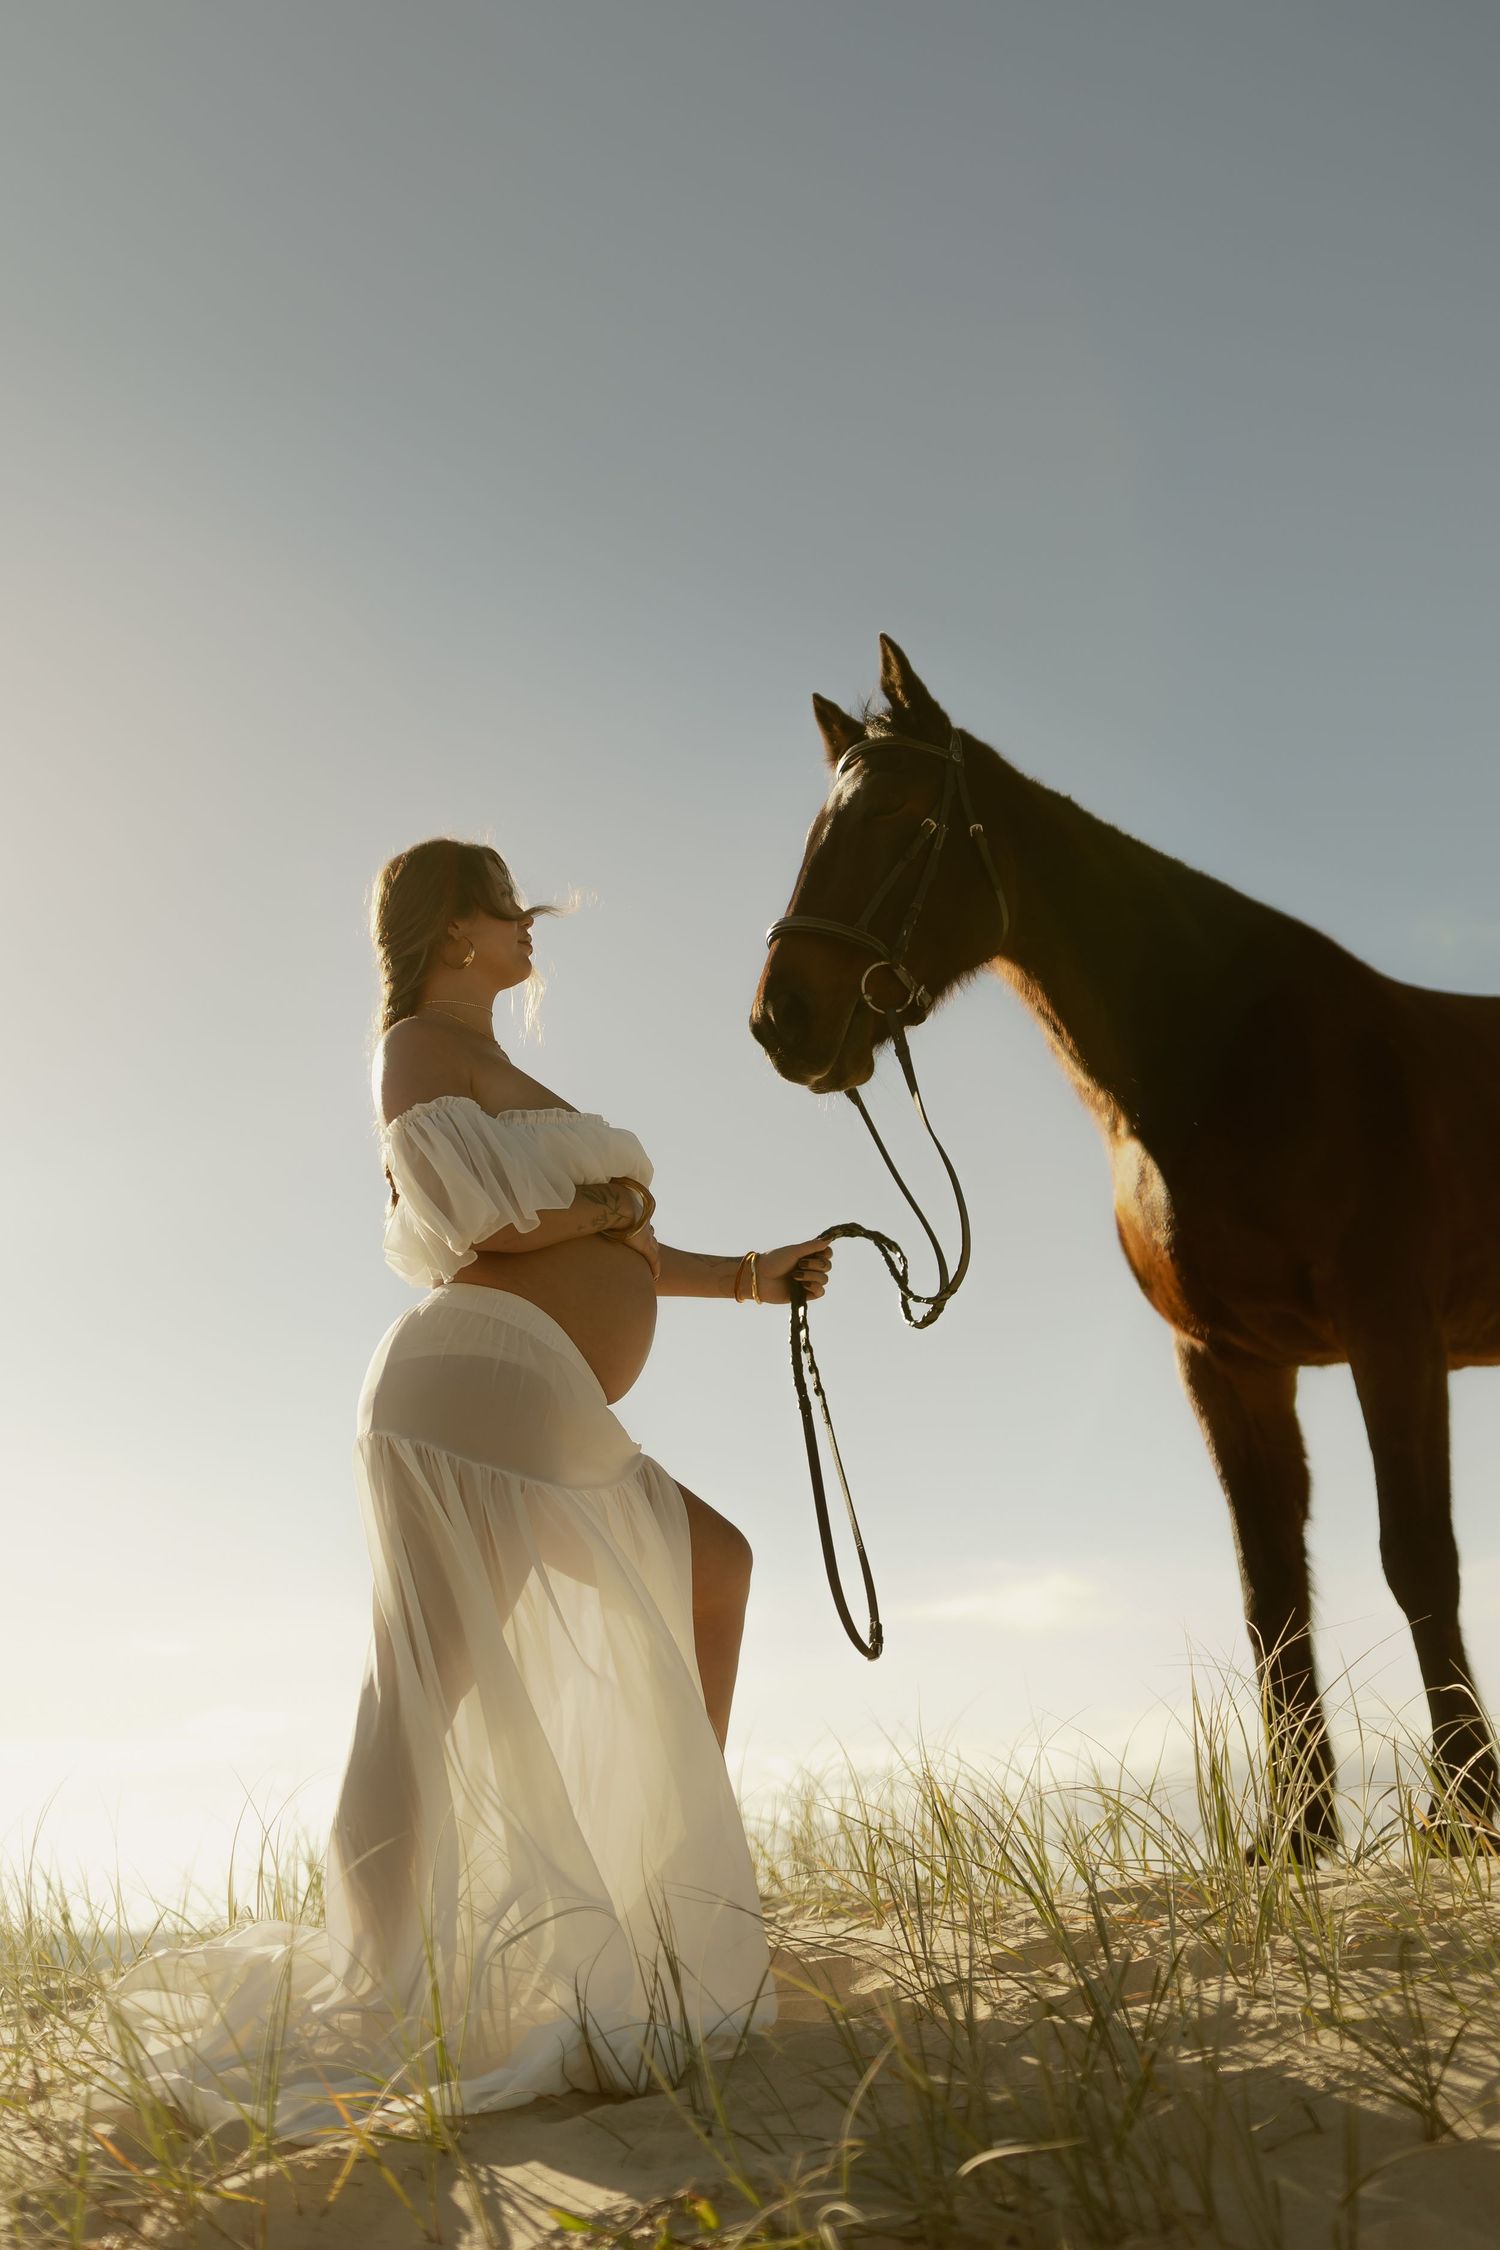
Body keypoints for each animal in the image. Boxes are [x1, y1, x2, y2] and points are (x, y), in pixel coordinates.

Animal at [750, 633, 1500, 1852]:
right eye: (820, 826)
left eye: (906, 816)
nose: (784, 1019)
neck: (1225, 1065)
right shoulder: (1230, 1363)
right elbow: (1270, 1591)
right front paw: (1299, 1834)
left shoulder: (1394, 1338)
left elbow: (1418, 1559)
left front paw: (1470, 1810)